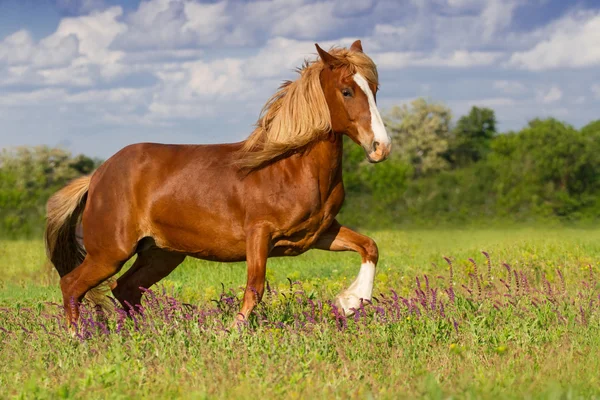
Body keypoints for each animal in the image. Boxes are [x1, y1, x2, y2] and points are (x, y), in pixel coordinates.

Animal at [44, 39, 392, 332]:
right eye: (347, 91)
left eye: (374, 88)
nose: (380, 147)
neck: (287, 167)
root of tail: (97, 176)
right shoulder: (259, 234)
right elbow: (255, 287)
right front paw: (234, 331)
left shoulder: (318, 234)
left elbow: (369, 246)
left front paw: (349, 303)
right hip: (110, 253)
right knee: (72, 285)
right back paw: (78, 338)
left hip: (160, 253)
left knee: (125, 288)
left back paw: (147, 333)